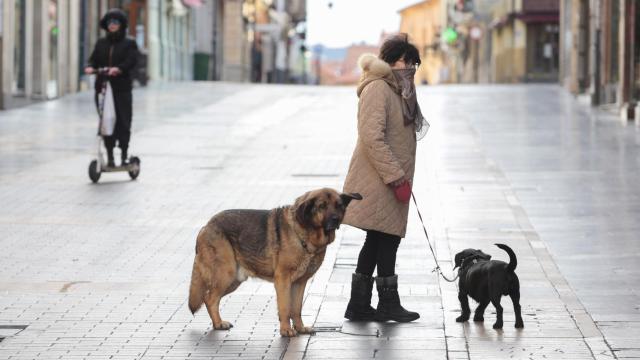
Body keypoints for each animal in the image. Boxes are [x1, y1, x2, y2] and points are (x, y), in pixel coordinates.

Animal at [189, 190, 360, 336]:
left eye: (339, 205)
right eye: (322, 206)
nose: (336, 220)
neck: (304, 233)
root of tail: (207, 225)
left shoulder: (299, 283)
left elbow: (296, 308)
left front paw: (300, 328)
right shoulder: (283, 280)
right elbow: (285, 307)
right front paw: (286, 330)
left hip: (234, 280)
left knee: (210, 298)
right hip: (226, 274)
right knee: (209, 298)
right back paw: (218, 324)